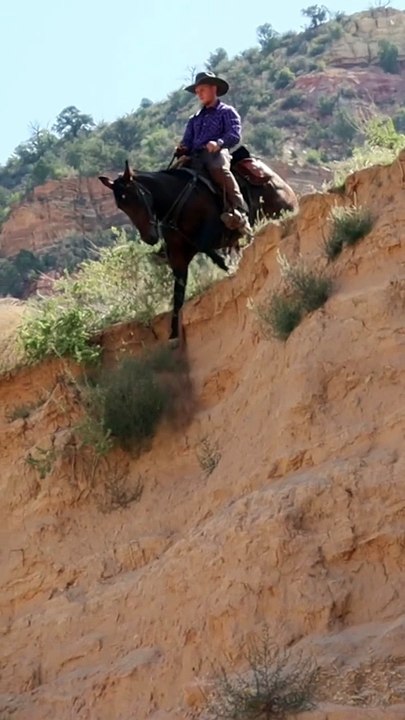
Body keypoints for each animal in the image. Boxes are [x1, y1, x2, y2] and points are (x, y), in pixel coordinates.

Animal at [99, 151, 298, 342]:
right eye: (121, 205)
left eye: (136, 197)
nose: (149, 237)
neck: (178, 202)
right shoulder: (178, 255)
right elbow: (178, 293)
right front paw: (173, 334)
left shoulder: (213, 233)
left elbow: (208, 249)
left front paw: (230, 266)